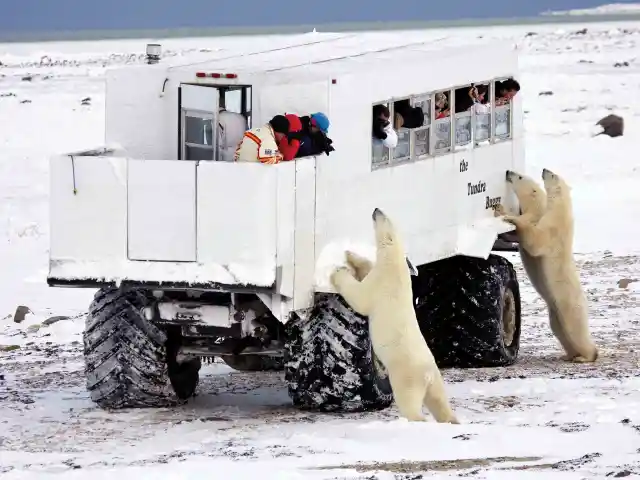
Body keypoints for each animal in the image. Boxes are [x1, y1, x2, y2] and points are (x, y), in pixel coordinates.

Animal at [330, 208, 460, 422]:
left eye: (384, 217)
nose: (376, 209)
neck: (395, 261)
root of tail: (427, 374)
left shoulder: (382, 282)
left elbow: (360, 297)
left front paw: (338, 272)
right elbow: (366, 268)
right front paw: (351, 255)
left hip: (407, 377)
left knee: (411, 404)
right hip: (436, 379)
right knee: (440, 401)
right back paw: (452, 421)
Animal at [498, 168, 596, 360]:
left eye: (519, 176)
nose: (508, 171)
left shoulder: (551, 228)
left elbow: (535, 240)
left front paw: (508, 217)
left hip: (570, 307)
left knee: (576, 332)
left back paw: (586, 356)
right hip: (555, 315)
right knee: (561, 331)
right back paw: (569, 355)